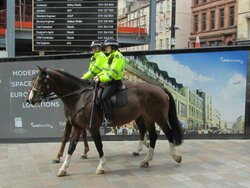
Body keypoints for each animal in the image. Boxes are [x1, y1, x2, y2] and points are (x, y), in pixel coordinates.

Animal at [28, 67, 183, 176]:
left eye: (40, 81)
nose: (30, 99)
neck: (79, 97)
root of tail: (160, 88)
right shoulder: (77, 127)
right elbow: (71, 146)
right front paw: (63, 168)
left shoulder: (93, 127)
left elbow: (98, 145)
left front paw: (101, 166)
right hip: (147, 117)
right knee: (153, 135)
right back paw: (146, 160)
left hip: (158, 117)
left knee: (168, 133)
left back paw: (175, 157)